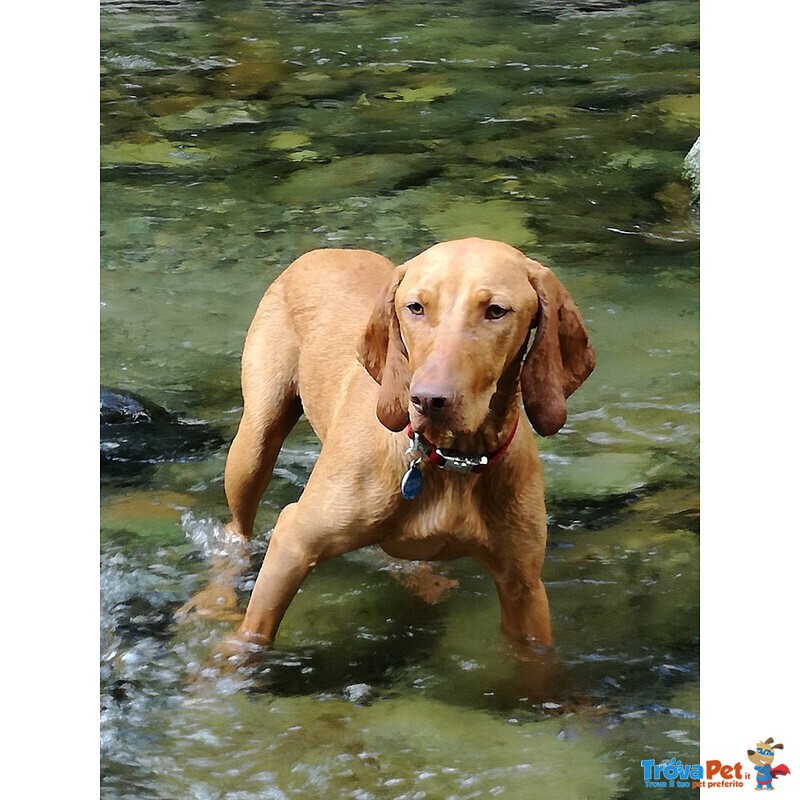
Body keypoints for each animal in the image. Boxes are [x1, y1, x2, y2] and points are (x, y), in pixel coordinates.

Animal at [220, 236, 592, 648]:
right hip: (254, 445)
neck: (451, 458)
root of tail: (324, 251)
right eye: (416, 307)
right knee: (235, 533)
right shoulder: (293, 542)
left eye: (496, 311)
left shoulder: (524, 589)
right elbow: (252, 637)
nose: (428, 400)